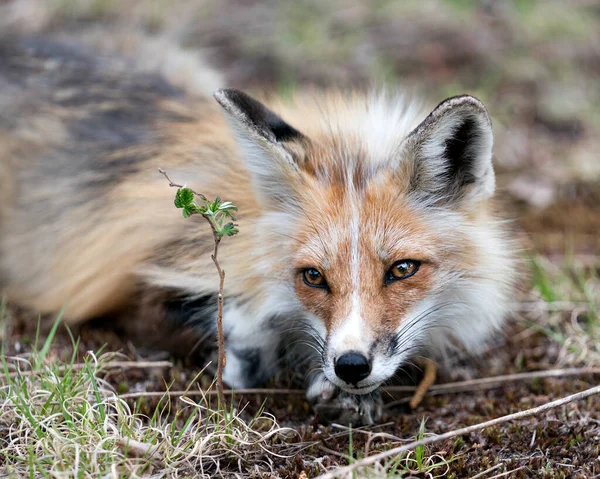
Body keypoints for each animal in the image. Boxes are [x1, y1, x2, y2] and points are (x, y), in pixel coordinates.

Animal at [0, 31, 516, 426]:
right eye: (313, 277)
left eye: (403, 269)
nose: (350, 367)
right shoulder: (135, 283)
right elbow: (231, 328)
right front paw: (262, 358)